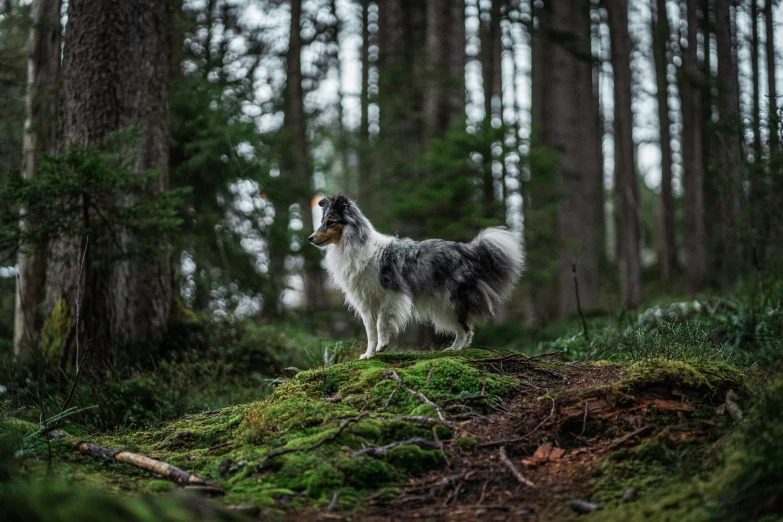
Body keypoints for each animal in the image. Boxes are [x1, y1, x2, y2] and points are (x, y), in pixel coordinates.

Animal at [310, 195, 524, 358]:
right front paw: (369, 354)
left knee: (466, 328)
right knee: (464, 328)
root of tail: (468, 250)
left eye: (330, 223)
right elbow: (370, 331)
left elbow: (381, 323)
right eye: (322, 223)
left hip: (452, 300)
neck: (352, 245)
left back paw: (455, 349)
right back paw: (455, 348)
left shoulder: (391, 294)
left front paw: (382, 345)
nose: (310, 238)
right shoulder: (366, 302)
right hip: (444, 305)